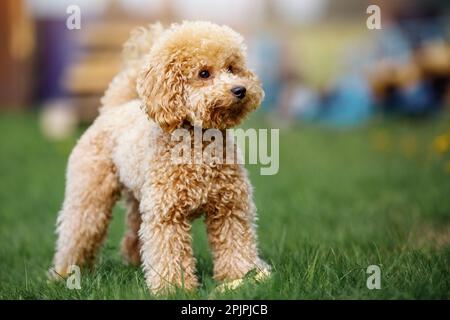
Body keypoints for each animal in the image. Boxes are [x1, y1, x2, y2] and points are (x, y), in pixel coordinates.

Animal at [52, 21, 270, 294]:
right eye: (204, 74)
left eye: (232, 67)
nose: (240, 90)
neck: (197, 144)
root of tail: (114, 108)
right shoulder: (167, 214)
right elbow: (169, 252)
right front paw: (173, 287)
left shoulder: (230, 208)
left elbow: (236, 244)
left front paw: (242, 277)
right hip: (90, 195)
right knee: (78, 232)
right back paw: (63, 274)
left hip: (138, 198)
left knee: (133, 234)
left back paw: (133, 262)